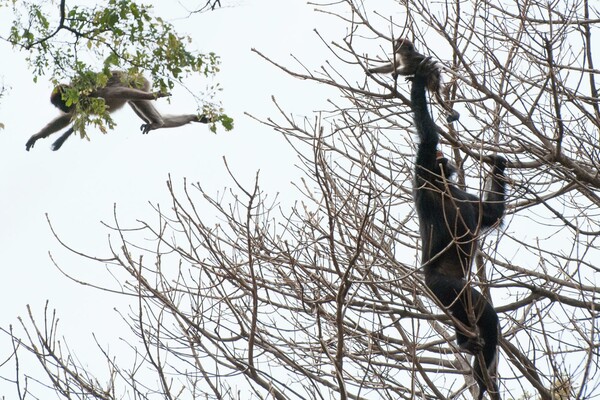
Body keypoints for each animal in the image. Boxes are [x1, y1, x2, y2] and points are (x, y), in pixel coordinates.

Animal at [27, 69, 211, 151]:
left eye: (60, 102)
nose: (61, 107)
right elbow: (66, 119)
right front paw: (37, 136)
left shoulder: (89, 94)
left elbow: (115, 93)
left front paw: (155, 95)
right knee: (137, 104)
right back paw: (179, 119)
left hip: (138, 82)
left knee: (133, 96)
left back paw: (156, 119)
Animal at [408, 73, 506, 398]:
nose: (449, 161)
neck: (444, 186)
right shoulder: (424, 170)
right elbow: (428, 137)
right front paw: (419, 80)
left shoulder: (469, 198)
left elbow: (490, 213)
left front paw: (497, 163)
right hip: (444, 288)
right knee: (486, 315)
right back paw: (481, 372)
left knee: (482, 322)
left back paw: (471, 351)